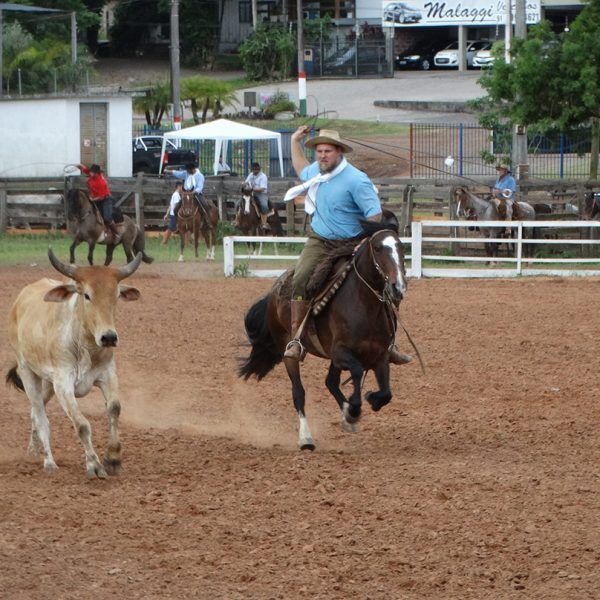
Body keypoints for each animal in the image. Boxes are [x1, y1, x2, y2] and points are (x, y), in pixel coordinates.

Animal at [6, 247, 142, 478]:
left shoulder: (108, 374)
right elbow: (82, 425)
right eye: (86, 295)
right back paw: (49, 462)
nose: (109, 337)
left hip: (47, 383)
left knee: (35, 412)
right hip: (28, 372)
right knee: (40, 415)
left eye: (115, 295)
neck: (85, 346)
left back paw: (33, 451)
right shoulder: (63, 385)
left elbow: (114, 408)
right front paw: (94, 465)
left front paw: (113, 458)